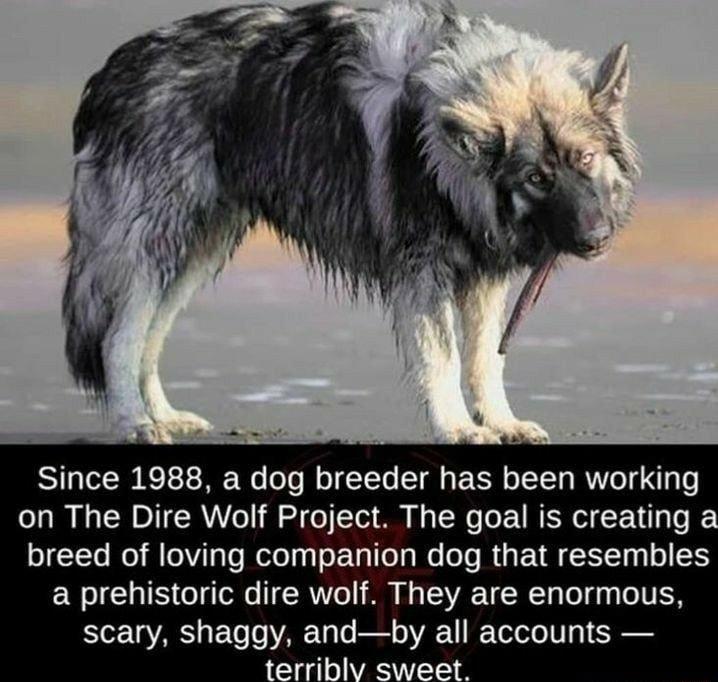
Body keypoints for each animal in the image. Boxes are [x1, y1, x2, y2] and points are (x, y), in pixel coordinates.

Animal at [63, 0, 640, 444]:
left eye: (586, 159)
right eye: (536, 178)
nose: (596, 238)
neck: (437, 151)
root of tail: (110, 73)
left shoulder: (482, 277)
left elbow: (484, 360)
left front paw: (501, 422)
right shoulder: (421, 278)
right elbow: (444, 358)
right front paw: (457, 427)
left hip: (197, 254)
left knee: (149, 338)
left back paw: (161, 415)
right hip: (156, 247)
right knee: (119, 338)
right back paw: (135, 423)